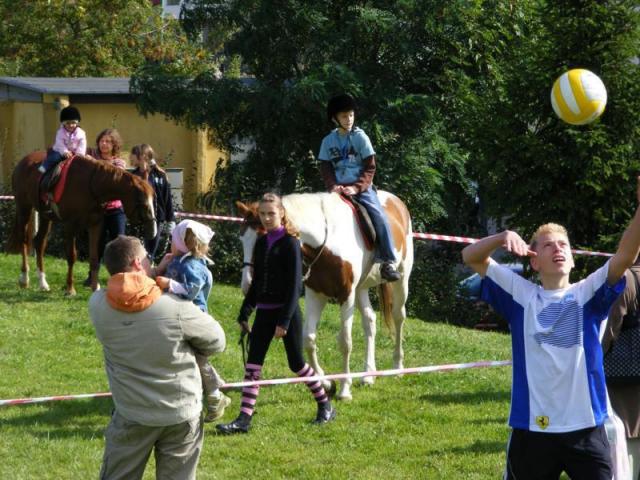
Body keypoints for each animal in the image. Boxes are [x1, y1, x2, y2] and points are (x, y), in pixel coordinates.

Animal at [6, 150, 158, 294]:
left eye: (154, 200)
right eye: (141, 202)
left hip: (45, 216)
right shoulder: (70, 225)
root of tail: (23, 162)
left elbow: (95, 258)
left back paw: (43, 283)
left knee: (39, 242)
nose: (153, 230)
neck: (91, 185)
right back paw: (24, 278)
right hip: (24, 208)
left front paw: (95, 287)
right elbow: (71, 256)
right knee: (24, 241)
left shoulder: (96, 225)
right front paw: (70, 288)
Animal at [238, 189, 412, 400]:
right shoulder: (315, 293)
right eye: (242, 239)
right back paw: (368, 375)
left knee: (398, 317)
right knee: (369, 321)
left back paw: (397, 367)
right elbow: (309, 339)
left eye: (263, 238)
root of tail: (398, 202)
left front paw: (344, 389)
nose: (248, 284)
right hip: (361, 288)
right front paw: (326, 382)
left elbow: (345, 342)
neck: (327, 242)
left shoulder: (346, 295)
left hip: (401, 278)